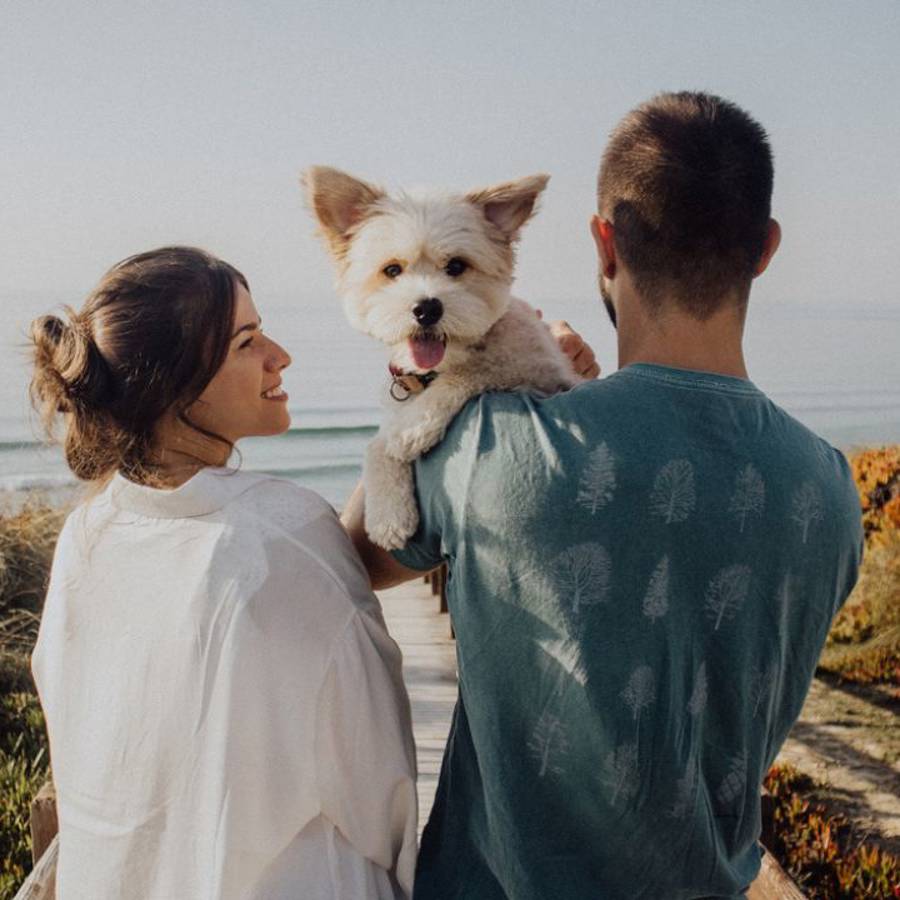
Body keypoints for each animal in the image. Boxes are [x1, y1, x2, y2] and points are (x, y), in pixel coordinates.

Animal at [306, 167, 580, 548]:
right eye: (392, 270)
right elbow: (376, 445)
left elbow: (472, 372)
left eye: (456, 266)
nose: (427, 308)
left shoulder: (539, 371)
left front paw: (412, 430)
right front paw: (388, 514)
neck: (434, 370)